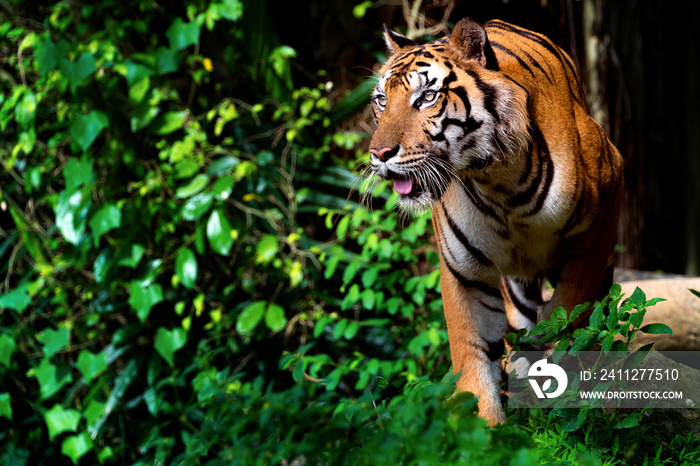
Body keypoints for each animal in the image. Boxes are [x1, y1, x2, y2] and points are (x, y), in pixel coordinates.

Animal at [366, 19, 624, 426]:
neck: (499, 181)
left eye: (426, 98)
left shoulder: (604, 208)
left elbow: (570, 305)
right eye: (381, 101)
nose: (378, 154)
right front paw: (486, 429)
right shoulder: (465, 271)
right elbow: (472, 352)